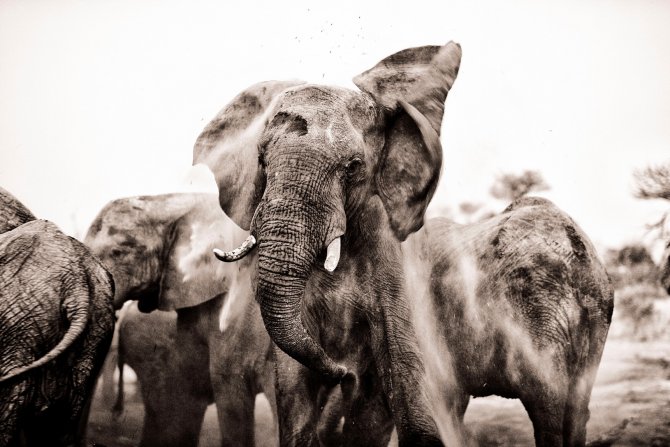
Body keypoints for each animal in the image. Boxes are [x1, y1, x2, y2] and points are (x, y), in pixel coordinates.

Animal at [194, 40, 616, 446]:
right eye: (262, 161)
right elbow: (294, 383)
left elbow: (397, 376)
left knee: (549, 406)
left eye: (353, 167)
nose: (342, 372)